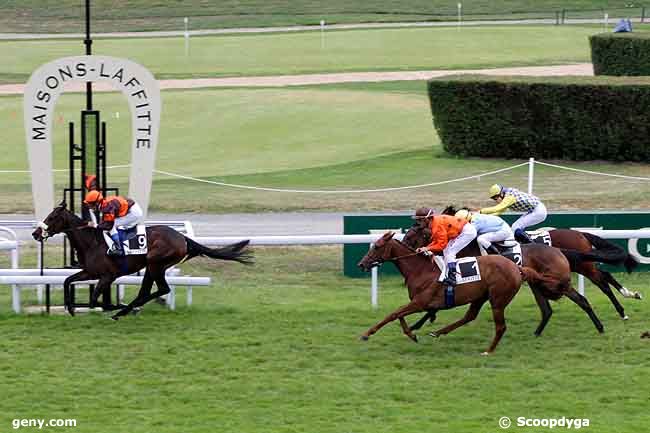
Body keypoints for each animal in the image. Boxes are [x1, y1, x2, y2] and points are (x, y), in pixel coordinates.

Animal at [32, 201, 253, 318]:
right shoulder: (90, 272)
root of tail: (182, 238)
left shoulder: (107, 276)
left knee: (159, 289)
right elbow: (67, 280)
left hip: (156, 263)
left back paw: (124, 311)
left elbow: (96, 299)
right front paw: (70, 307)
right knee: (151, 290)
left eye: (52, 217)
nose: (35, 233)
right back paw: (127, 310)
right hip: (152, 267)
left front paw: (114, 306)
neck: (92, 242)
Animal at [356, 233, 564, 354]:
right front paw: (413, 334)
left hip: (497, 300)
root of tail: (517, 268)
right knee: (469, 316)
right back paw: (438, 332)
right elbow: (399, 315)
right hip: (480, 297)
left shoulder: (420, 302)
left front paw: (366, 334)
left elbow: (393, 314)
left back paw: (488, 351)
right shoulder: (419, 303)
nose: (361, 264)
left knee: (500, 327)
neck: (420, 270)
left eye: (377, 247)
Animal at [440, 204, 636, 318]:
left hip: (583, 265)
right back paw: (628, 298)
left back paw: (623, 308)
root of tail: (580, 233)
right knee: (604, 276)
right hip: (581, 264)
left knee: (602, 281)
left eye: (445, 218)